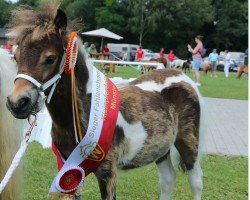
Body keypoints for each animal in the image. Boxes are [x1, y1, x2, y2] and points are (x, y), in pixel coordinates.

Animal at [6, 2, 203, 199]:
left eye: (50, 58)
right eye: (15, 57)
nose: (17, 103)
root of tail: (179, 75)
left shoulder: (107, 171)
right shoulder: (68, 168)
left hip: (188, 144)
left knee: (195, 182)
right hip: (161, 149)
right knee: (168, 179)